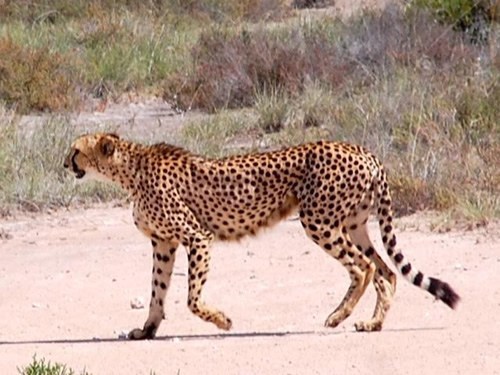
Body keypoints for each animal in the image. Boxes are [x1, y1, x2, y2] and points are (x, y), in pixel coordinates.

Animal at [64, 133, 458, 340]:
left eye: (76, 150)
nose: (64, 163)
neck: (130, 171)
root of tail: (363, 150)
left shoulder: (196, 236)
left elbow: (191, 298)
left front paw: (222, 321)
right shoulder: (163, 243)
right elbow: (157, 291)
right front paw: (147, 330)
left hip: (319, 221)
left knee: (364, 268)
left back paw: (338, 316)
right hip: (353, 224)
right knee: (387, 271)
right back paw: (372, 323)